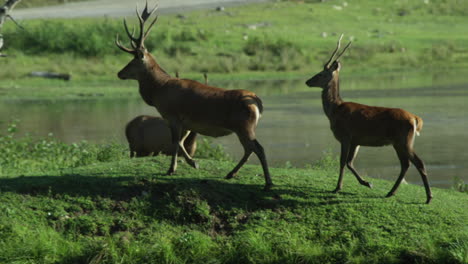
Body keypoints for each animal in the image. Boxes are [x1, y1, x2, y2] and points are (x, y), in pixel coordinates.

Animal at [114, 2, 272, 190]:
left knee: (258, 148)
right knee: (249, 149)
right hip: (243, 128)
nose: (119, 73)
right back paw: (231, 174)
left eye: (132, 61)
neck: (159, 90)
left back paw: (268, 182)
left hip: (244, 126)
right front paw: (193, 163)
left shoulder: (172, 115)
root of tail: (258, 103)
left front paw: (172, 169)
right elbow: (181, 142)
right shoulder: (186, 121)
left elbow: (175, 142)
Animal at [306, 34, 434, 204]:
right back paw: (391, 192)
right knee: (405, 164)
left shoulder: (345, 135)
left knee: (417, 162)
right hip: (399, 142)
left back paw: (428, 197)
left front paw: (338, 187)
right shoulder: (356, 140)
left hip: (404, 139)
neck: (334, 111)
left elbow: (342, 162)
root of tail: (415, 119)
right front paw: (366, 183)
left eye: (321, 74)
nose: (307, 81)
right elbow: (350, 162)